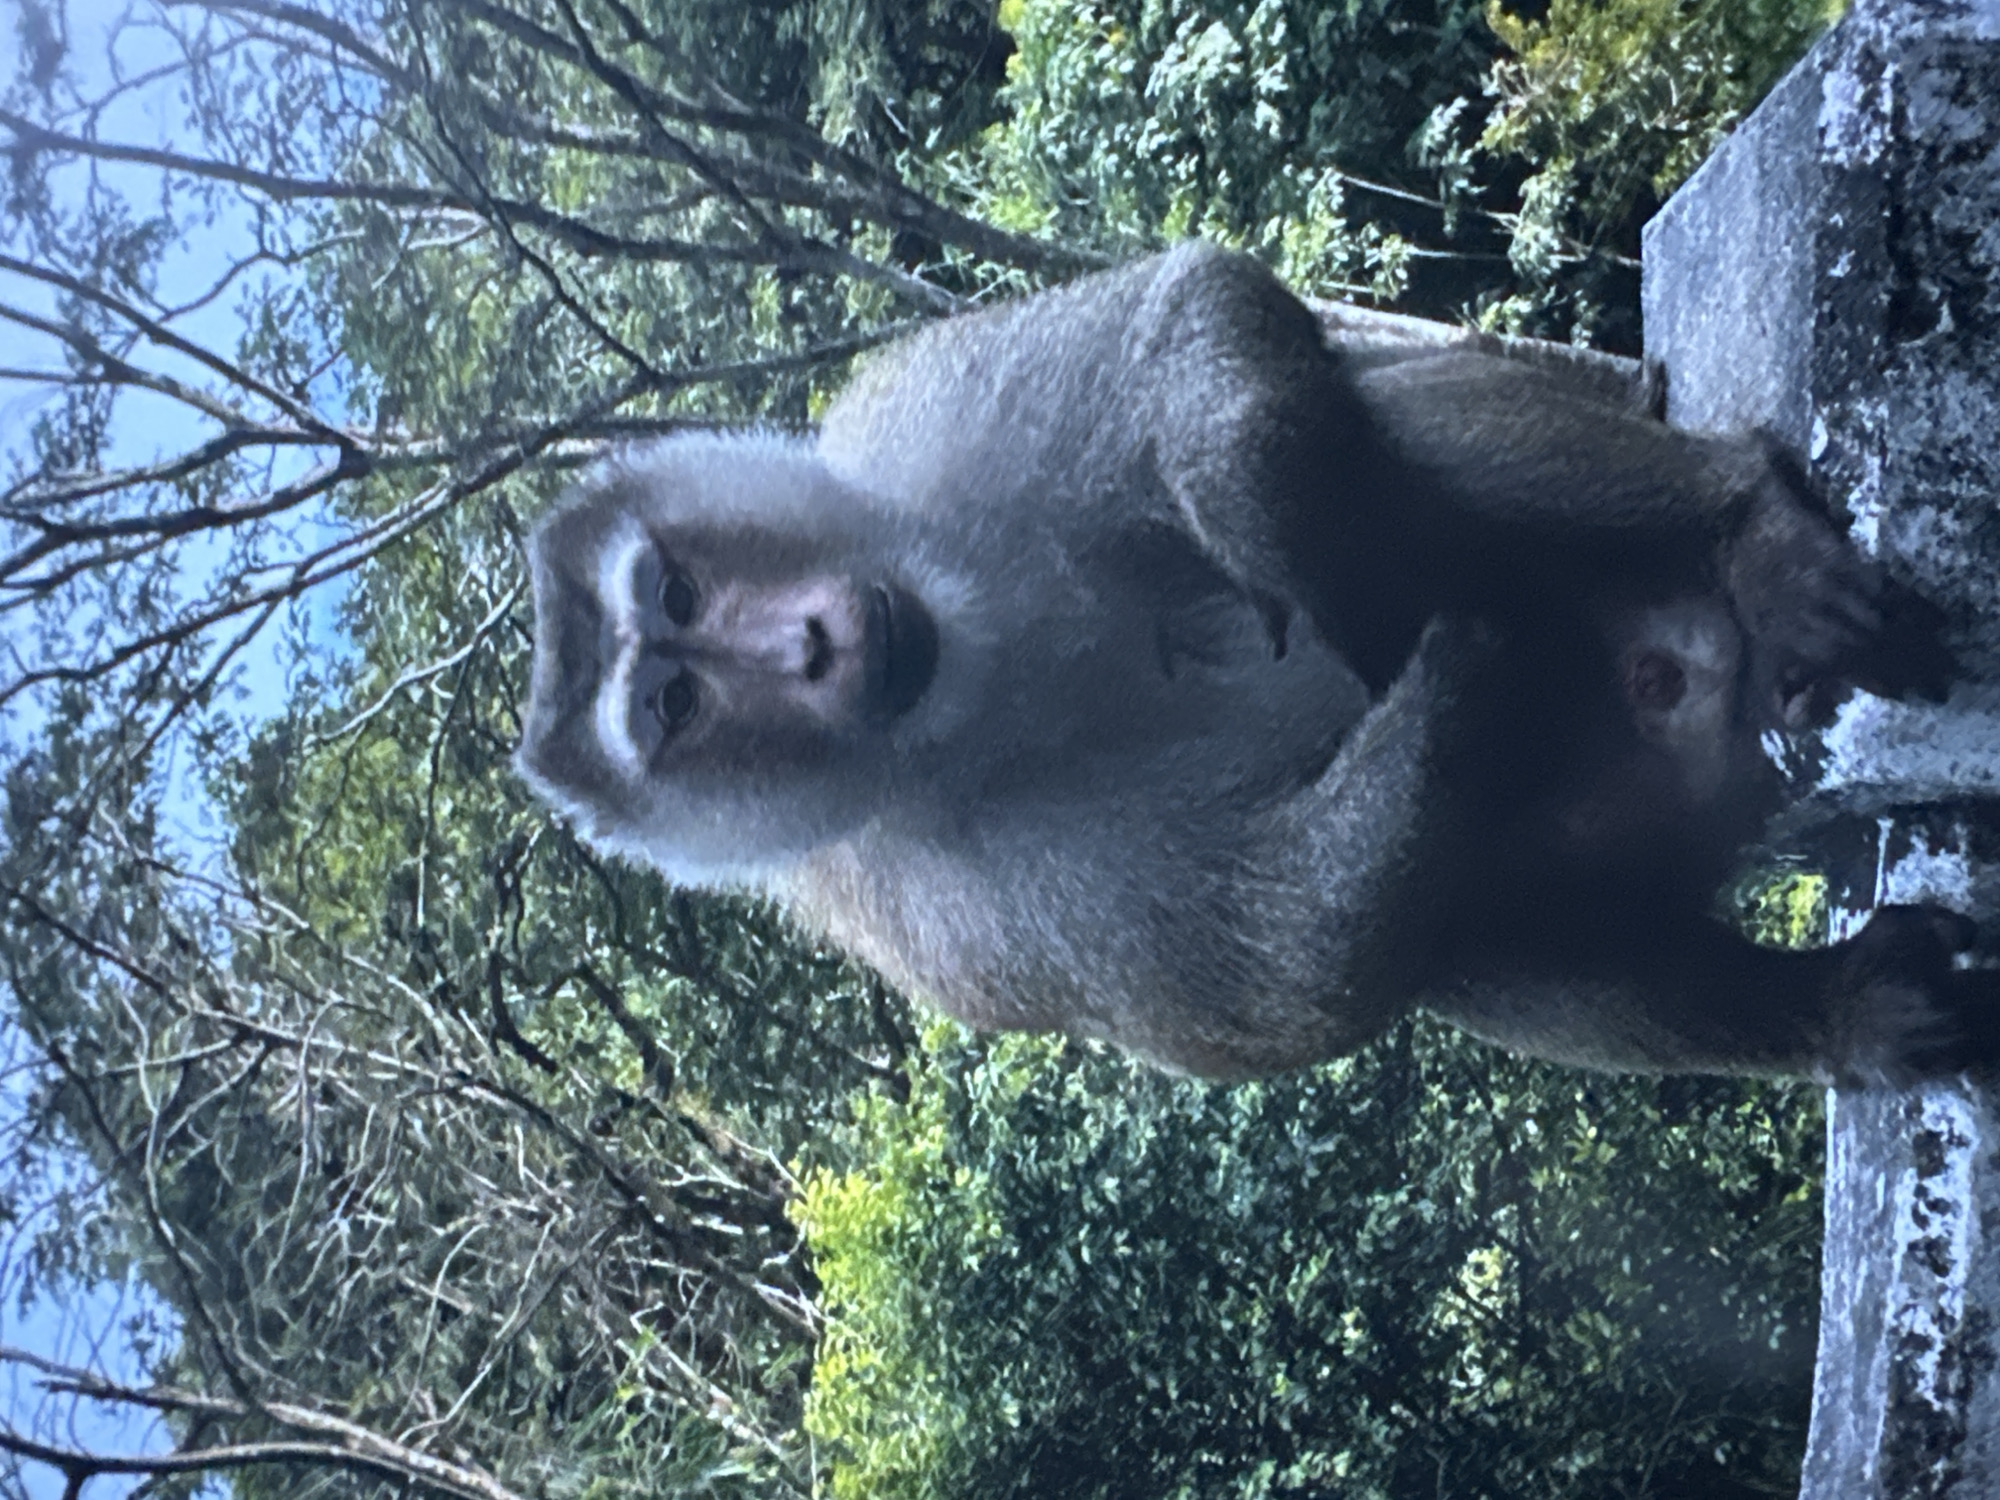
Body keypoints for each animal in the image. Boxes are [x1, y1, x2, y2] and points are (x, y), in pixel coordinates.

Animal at [517, 241, 1990, 1086]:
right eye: (676, 699)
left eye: (682, 594)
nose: (809, 646)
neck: (994, 661)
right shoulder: (940, 914)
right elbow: (1282, 977)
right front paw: (1456, 695)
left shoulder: (913, 436)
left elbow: (1188, 324)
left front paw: (1345, 581)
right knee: (1471, 925)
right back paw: (1829, 1009)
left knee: (1380, 445)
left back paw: (1748, 540)